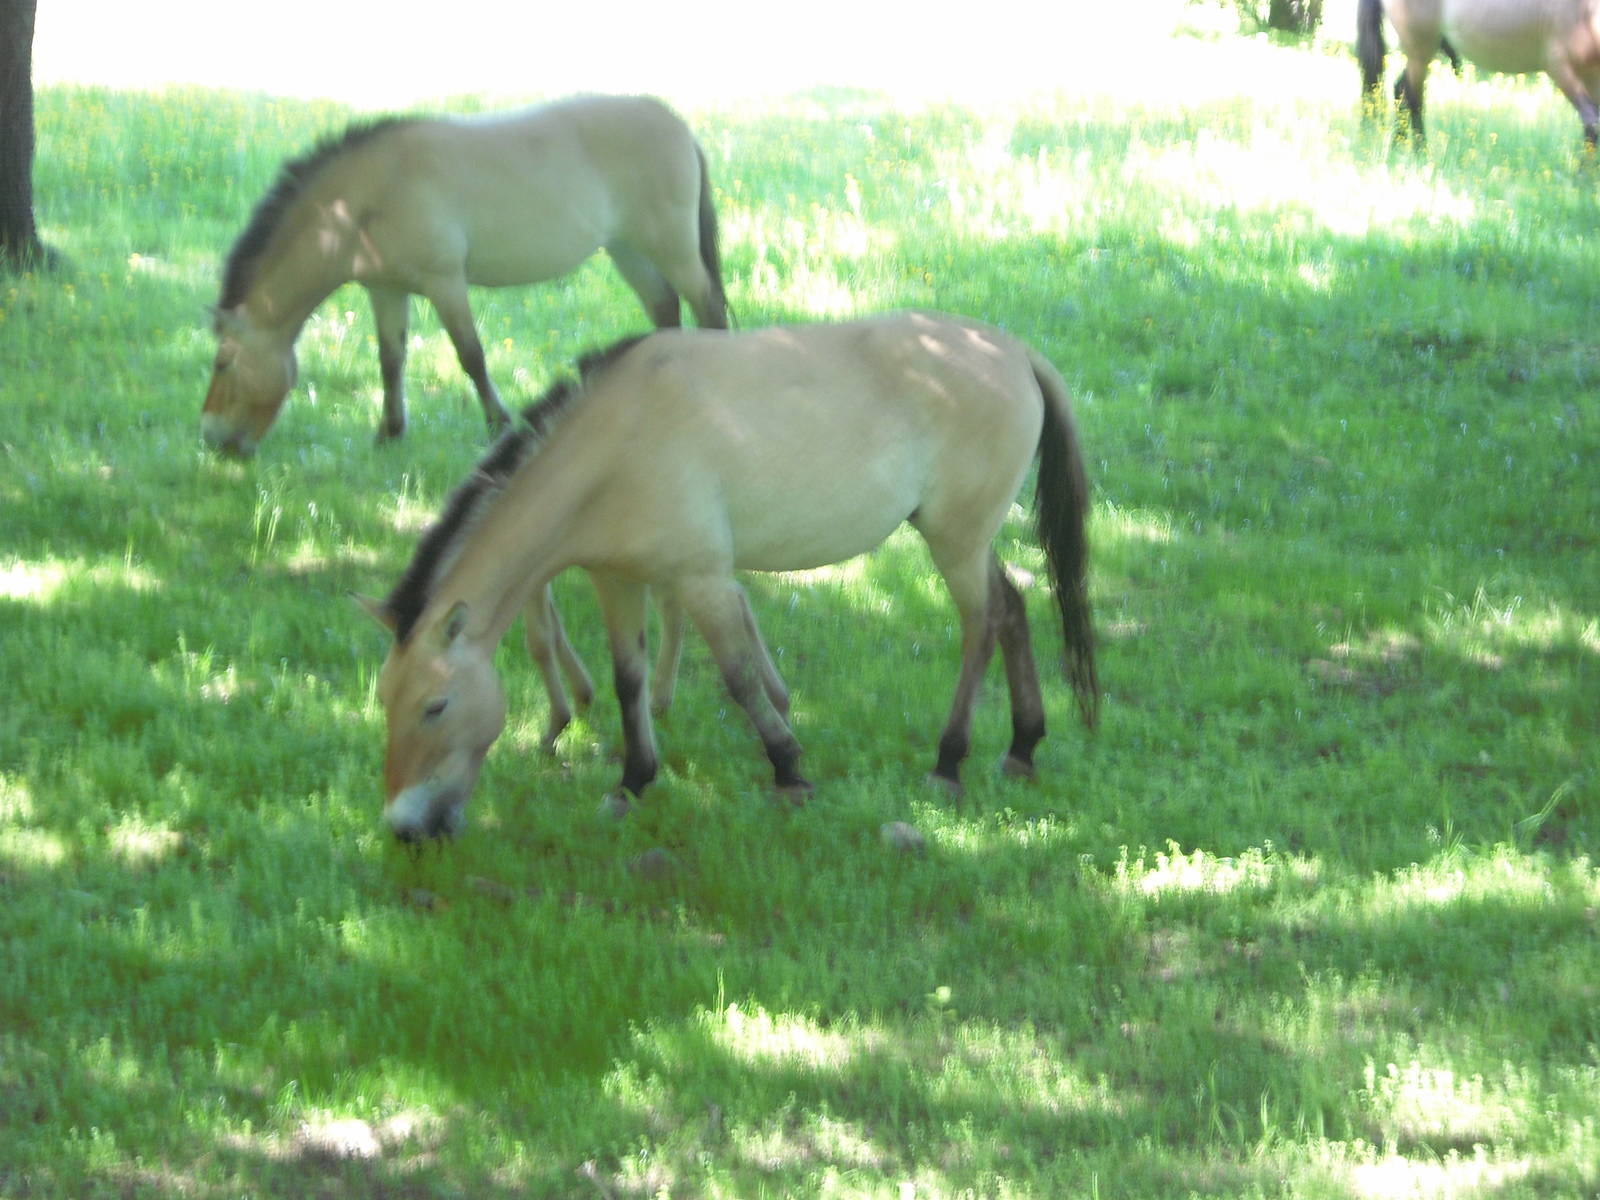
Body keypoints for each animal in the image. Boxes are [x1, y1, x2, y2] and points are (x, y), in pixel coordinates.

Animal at [200, 94, 730, 457]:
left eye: (223, 363)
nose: (211, 438)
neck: (369, 198)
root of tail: (676, 124)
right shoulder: (386, 290)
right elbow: (391, 361)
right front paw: (389, 433)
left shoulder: (445, 283)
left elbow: (471, 356)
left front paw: (499, 426)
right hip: (628, 252)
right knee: (664, 308)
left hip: (672, 249)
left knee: (709, 309)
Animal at [356, 311, 1100, 842]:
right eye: (387, 701)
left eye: (435, 706)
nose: (404, 827)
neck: (614, 445)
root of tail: (1013, 351)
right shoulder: (617, 581)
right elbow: (629, 681)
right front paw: (632, 781)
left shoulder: (703, 581)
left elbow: (740, 679)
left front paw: (789, 771)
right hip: (967, 540)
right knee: (1013, 607)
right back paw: (1023, 746)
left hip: (956, 541)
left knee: (982, 623)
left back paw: (950, 761)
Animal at [1359, 0, 1600, 147]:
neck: (1585, 12)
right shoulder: (1560, 69)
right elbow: (1592, 123)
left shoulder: (1592, 75)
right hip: (1420, 48)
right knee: (1412, 97)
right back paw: (1420, 153)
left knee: (1401, 91)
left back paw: (1401, 148)